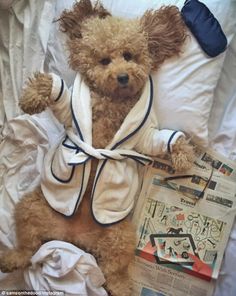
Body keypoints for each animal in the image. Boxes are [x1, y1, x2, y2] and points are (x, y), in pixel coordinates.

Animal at [0, 1, 195, 294]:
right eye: (104, 60)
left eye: (129, 55)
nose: (123, 76)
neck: (112, 100)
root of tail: (72, 240)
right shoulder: (71, 112)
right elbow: (56, 92)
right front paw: (32, 98)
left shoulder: (143, 135)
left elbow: (158, 140)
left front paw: (182, 154)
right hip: (32, 209)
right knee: (28, 249)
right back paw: (11, 258)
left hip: (120, 236)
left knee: (112, 272)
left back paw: (122, 286)